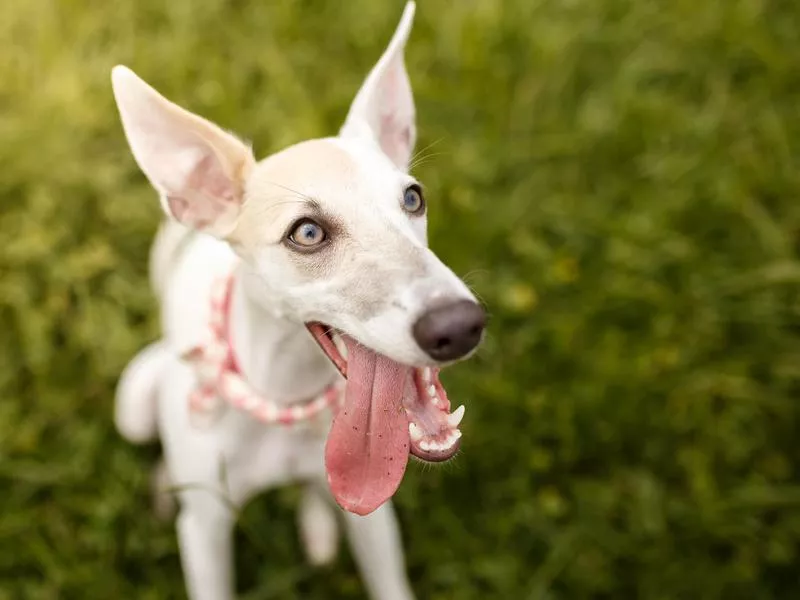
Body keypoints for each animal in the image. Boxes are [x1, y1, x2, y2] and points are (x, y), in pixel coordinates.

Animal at [111, 2, 488, 596]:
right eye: (307, 233)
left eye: (413, 198)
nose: (460, 326)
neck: (283, 399)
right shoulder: (206, 532)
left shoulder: (374, 514)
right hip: (133, 400)